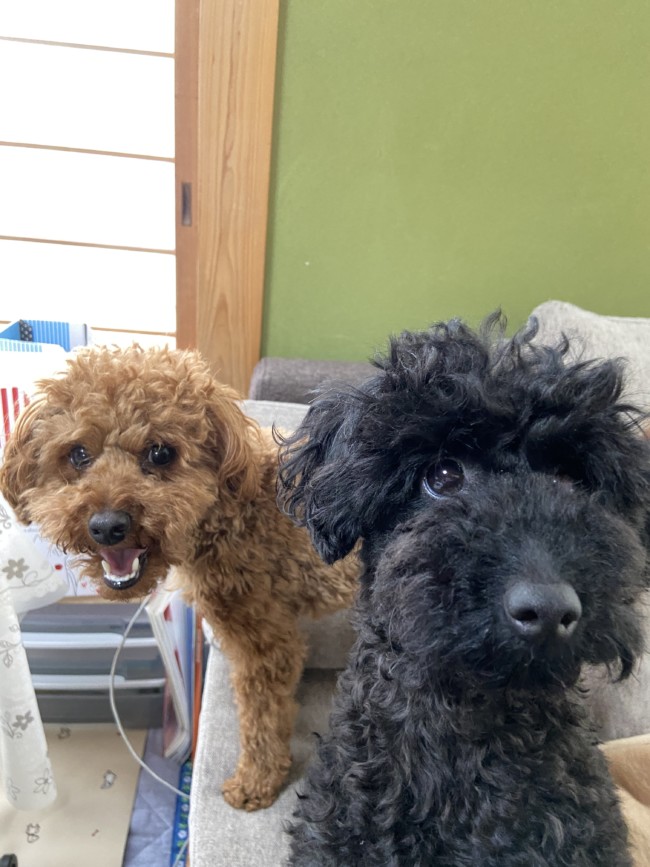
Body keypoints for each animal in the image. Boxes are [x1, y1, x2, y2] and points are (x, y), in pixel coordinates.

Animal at [0, 344, 358, 811]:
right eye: (77, 454)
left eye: (160, 453)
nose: (107, 526)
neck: (229, 509)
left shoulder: (265, 641)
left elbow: (261, 718)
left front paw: (255, 782)